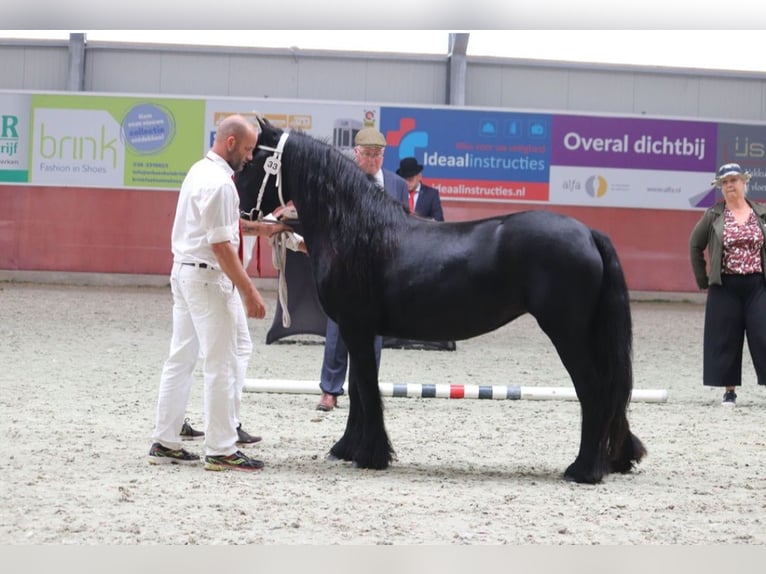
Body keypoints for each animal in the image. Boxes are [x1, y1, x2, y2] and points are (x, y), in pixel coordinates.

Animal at [237, 119, 644, 484]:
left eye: (252, 162)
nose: (241, 213)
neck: (356, 230)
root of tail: (588, 232)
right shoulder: (359, 332)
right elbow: (356, 387)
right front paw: (347, 449)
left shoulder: (356, 327)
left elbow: (365, 388)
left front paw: (370, 455)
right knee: (610, 388)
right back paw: (615, 459)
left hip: (567, 333)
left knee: (593, 389)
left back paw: (584, 470)